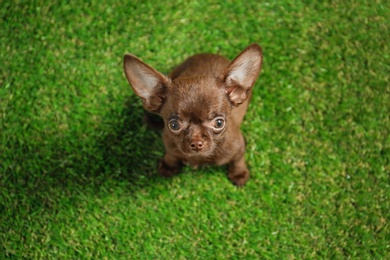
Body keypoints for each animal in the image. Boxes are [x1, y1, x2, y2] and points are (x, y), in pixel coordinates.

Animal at [122, 43, 262, 186]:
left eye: (219, 123)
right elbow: (171, 154)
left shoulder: (239, 147)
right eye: (174, 125)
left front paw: (239, 173)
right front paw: (169, 165)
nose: (196, 143)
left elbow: (237, 160)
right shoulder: (169, 144)